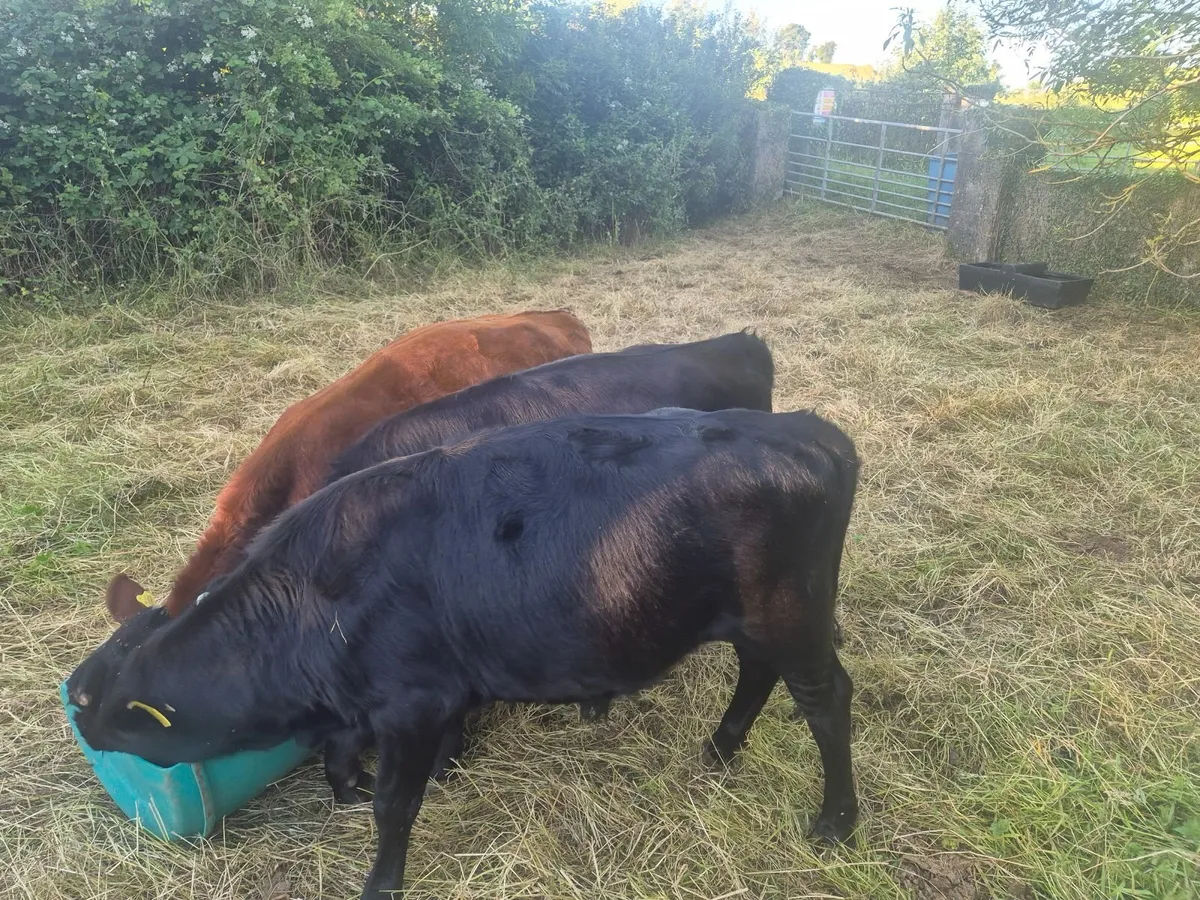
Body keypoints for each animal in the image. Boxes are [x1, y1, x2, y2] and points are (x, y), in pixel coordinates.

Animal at [66, 407, 860, 899]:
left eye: (88, 698)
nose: (81, 726)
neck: (309, 602)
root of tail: (807, 427)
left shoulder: (411, 703)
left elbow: (393, 804)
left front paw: (381, 879)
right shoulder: (393, 699)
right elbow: (349, 761)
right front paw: (370, 782)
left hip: (794, 614)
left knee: (828, 701)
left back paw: (836, 822)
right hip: (751, 620)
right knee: (758, 674)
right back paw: (721, 748)